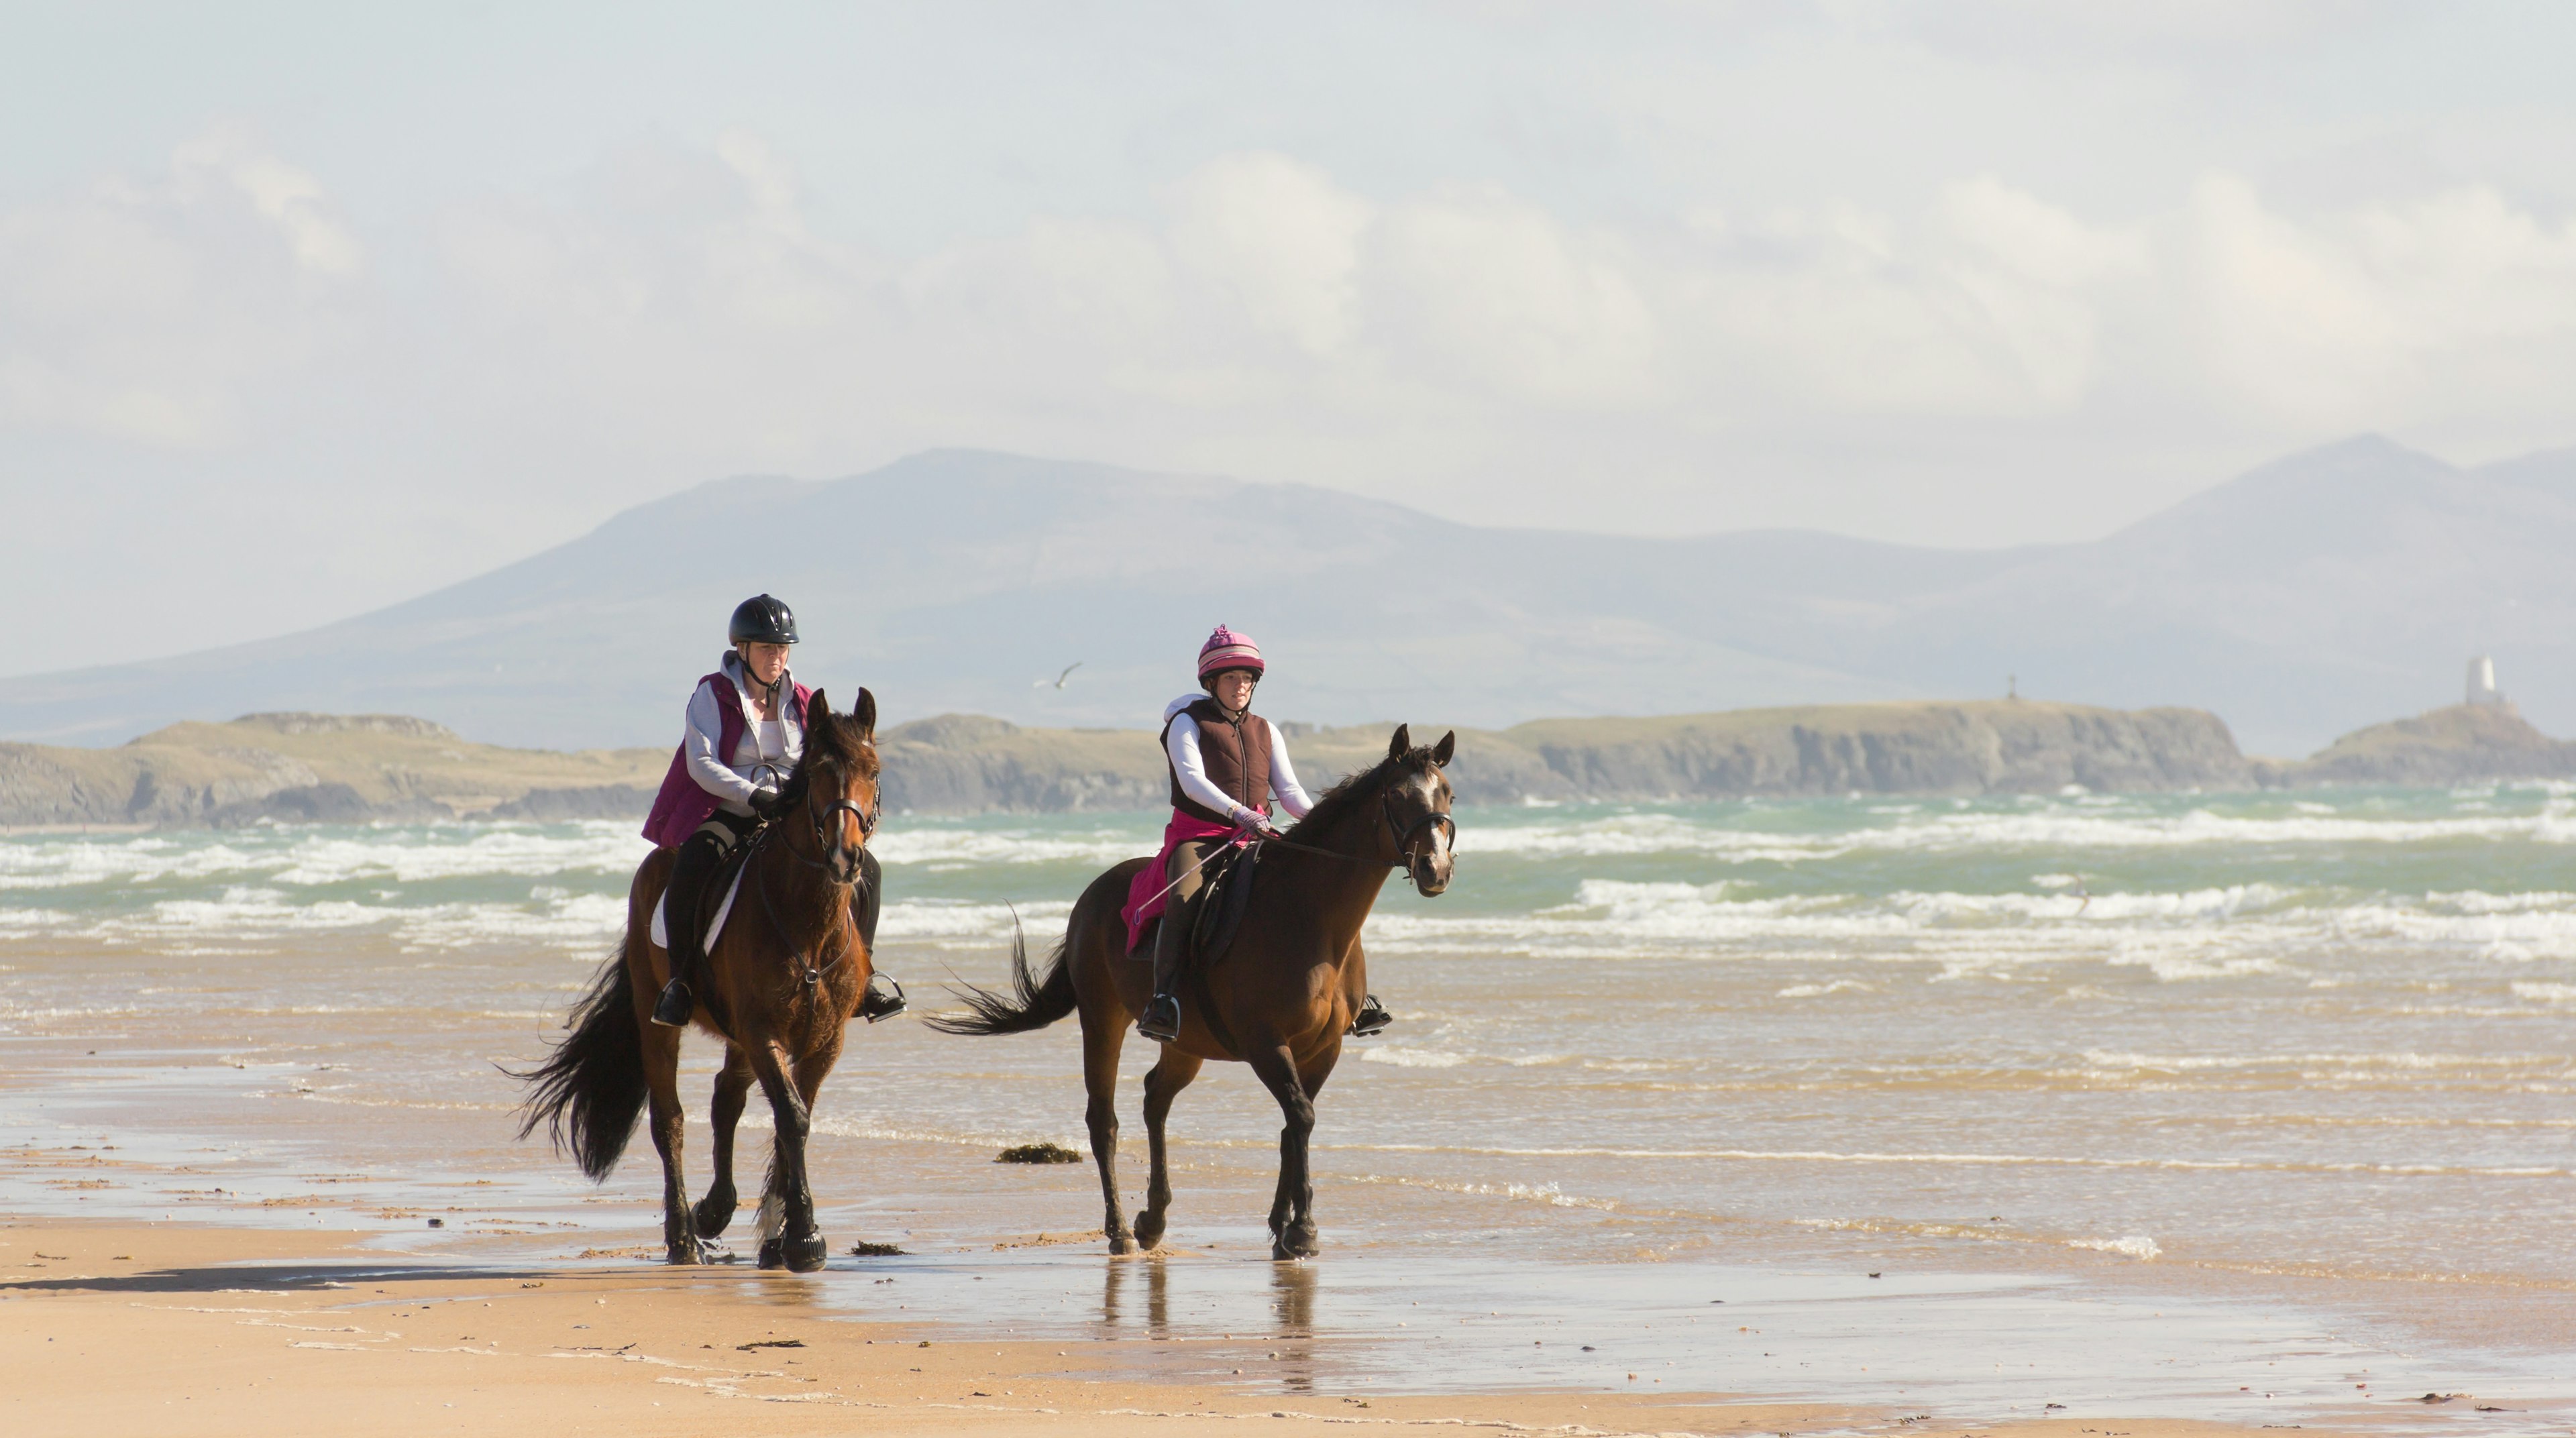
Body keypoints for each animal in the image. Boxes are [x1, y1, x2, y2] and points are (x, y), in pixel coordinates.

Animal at [517, 685, 891, 1273]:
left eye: (873, 771)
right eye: (818, 771)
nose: (845, 856)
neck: (806, 921)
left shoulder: (824, 1040)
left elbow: (795, 1118)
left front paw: (781, 1238)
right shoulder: (763, 1031)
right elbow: (791, 1118)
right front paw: (805, 1238)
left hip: (739, 1037)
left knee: (725, 1099)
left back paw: (715, 1211)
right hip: (661, 1021)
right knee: (669, 1120)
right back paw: (684, 1237)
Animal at [932, 732, 1463, 1262]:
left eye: (1449, 794)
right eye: (1396, 795)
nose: (1435, 869)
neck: (1309, 917)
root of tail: (1092, 895)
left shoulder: (1324, 1048)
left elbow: (1294, 1126)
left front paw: (1283, 1227)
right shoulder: (1266, 1043)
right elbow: (1300, 1117)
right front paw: (1303, 1230)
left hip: (1186, 1044)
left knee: (1155, 1098)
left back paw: (1153, 1218)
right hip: (1102, 1021)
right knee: (1104, 1122)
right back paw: (1121, 1230)